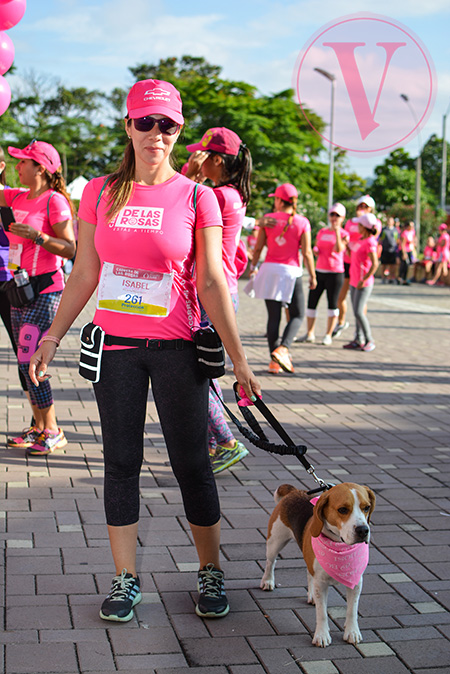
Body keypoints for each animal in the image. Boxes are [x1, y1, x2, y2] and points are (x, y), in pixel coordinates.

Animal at [260, 478, 376, 644]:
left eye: (366, 507)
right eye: (342, 510)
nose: (363, 530)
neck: (339, 545)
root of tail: (294, 491)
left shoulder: (356, 581)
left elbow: (352, 610)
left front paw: (352, 632)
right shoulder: (321, 583)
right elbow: (322, 613)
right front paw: (321, 635)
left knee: (309, 573)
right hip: (275, 541)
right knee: (271, 562)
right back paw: (268, 581)